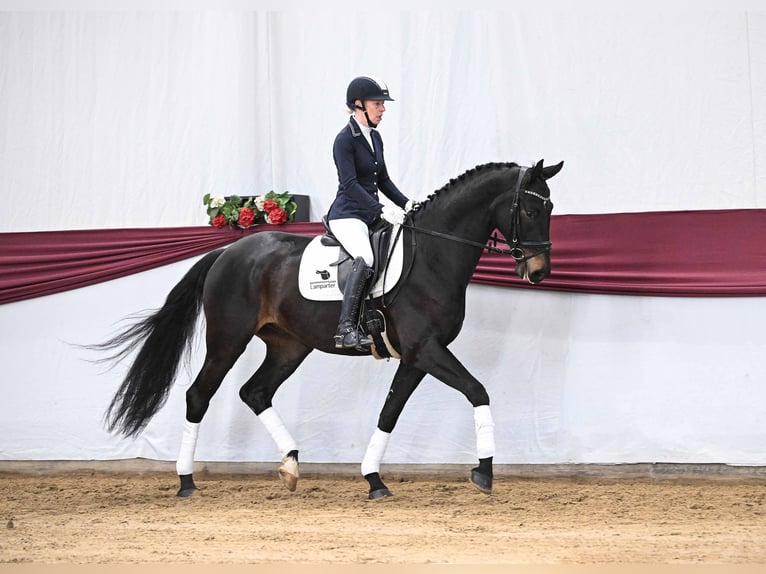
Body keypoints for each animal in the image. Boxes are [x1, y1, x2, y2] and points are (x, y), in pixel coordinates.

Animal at [96, 159, 563, 499]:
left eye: (551, 209)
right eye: (530, 209)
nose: (539, 271)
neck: (432, 255)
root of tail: (227, 251)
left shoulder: (416, 356)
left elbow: (390, 413)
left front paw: (374, 480)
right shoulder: (426, 349)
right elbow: (477, 391)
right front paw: (484, 472)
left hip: (289, 346)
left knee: (255, 392)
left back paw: (290, 465)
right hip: (228, 340)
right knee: (199, 395)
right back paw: (187, 482)